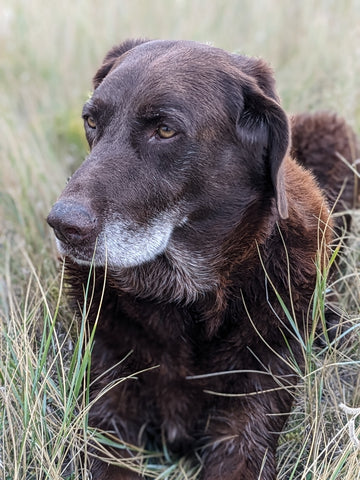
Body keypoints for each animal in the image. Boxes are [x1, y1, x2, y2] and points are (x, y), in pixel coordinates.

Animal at [46, 39, 358, 478]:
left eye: (165, 130)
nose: (63, 224)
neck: (184, 294)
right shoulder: (109, 407)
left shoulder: (249, 413)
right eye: (91, 121)